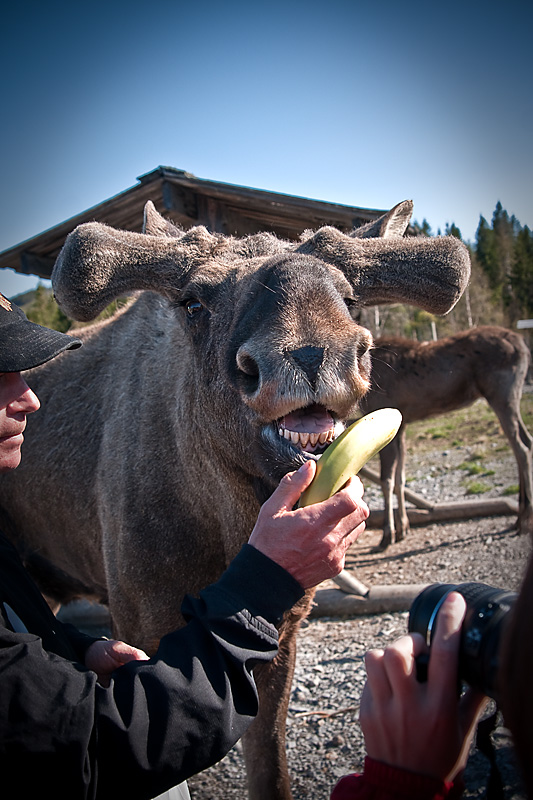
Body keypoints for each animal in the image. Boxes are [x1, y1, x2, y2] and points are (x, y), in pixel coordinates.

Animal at [0, 200, 468, 800]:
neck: (225, 531)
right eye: (194, 301)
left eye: (350, 297)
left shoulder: (283, 631)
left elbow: (270, 768)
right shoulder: (141, 624)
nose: (312, 352)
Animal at [358, 324, 532, 552]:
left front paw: (388, 535)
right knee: (527, 440)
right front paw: (404, 528)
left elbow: (386, 481)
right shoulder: (401, 426)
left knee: (521, 448)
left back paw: (524, 519)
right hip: (510, 398)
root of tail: (522, 343)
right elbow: (400, 478)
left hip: (502, 395)